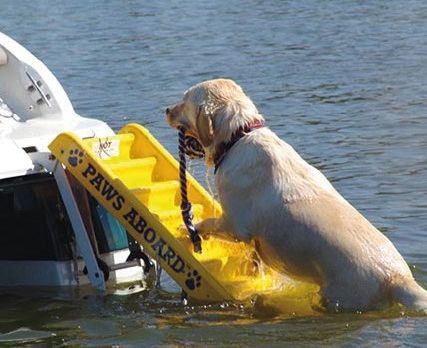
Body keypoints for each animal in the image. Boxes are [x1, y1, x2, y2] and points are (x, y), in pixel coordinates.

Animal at [166, 79, 427, 312]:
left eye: (185, 100)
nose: (166, 110)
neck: (238, 136)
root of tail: (397, 278)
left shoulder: (236, 225)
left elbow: (209, 223)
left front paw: (188, 229)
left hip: (342, 296)